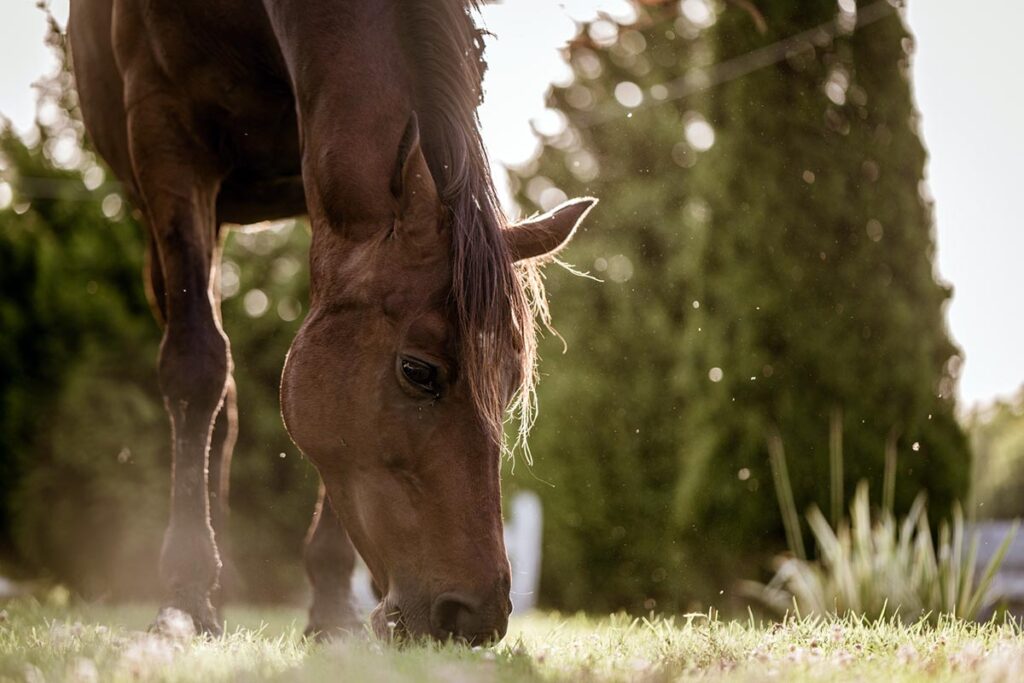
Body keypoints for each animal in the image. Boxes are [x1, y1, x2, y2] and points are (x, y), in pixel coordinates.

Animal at [68, 0, 598, 647]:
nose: (474, 617)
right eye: (418, 371)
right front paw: (187, 596)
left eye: (512, 385)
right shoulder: (165, 136)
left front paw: (331, 607)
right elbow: (196, 367)